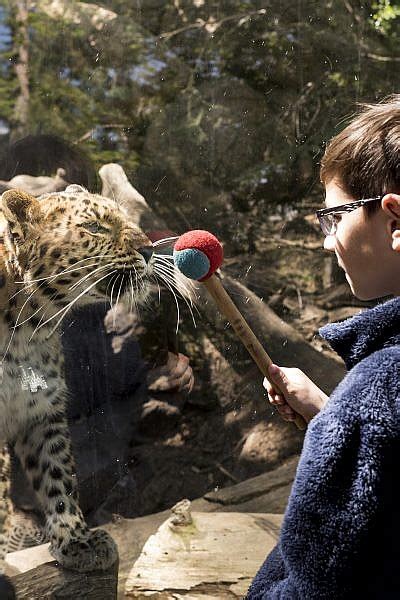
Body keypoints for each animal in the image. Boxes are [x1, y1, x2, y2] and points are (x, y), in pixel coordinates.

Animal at [0, 184, 178, 596]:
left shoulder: (41, 412)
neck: (27, 327)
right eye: (94, 227)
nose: (149, 249)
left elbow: (58, 477)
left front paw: (77, 542)